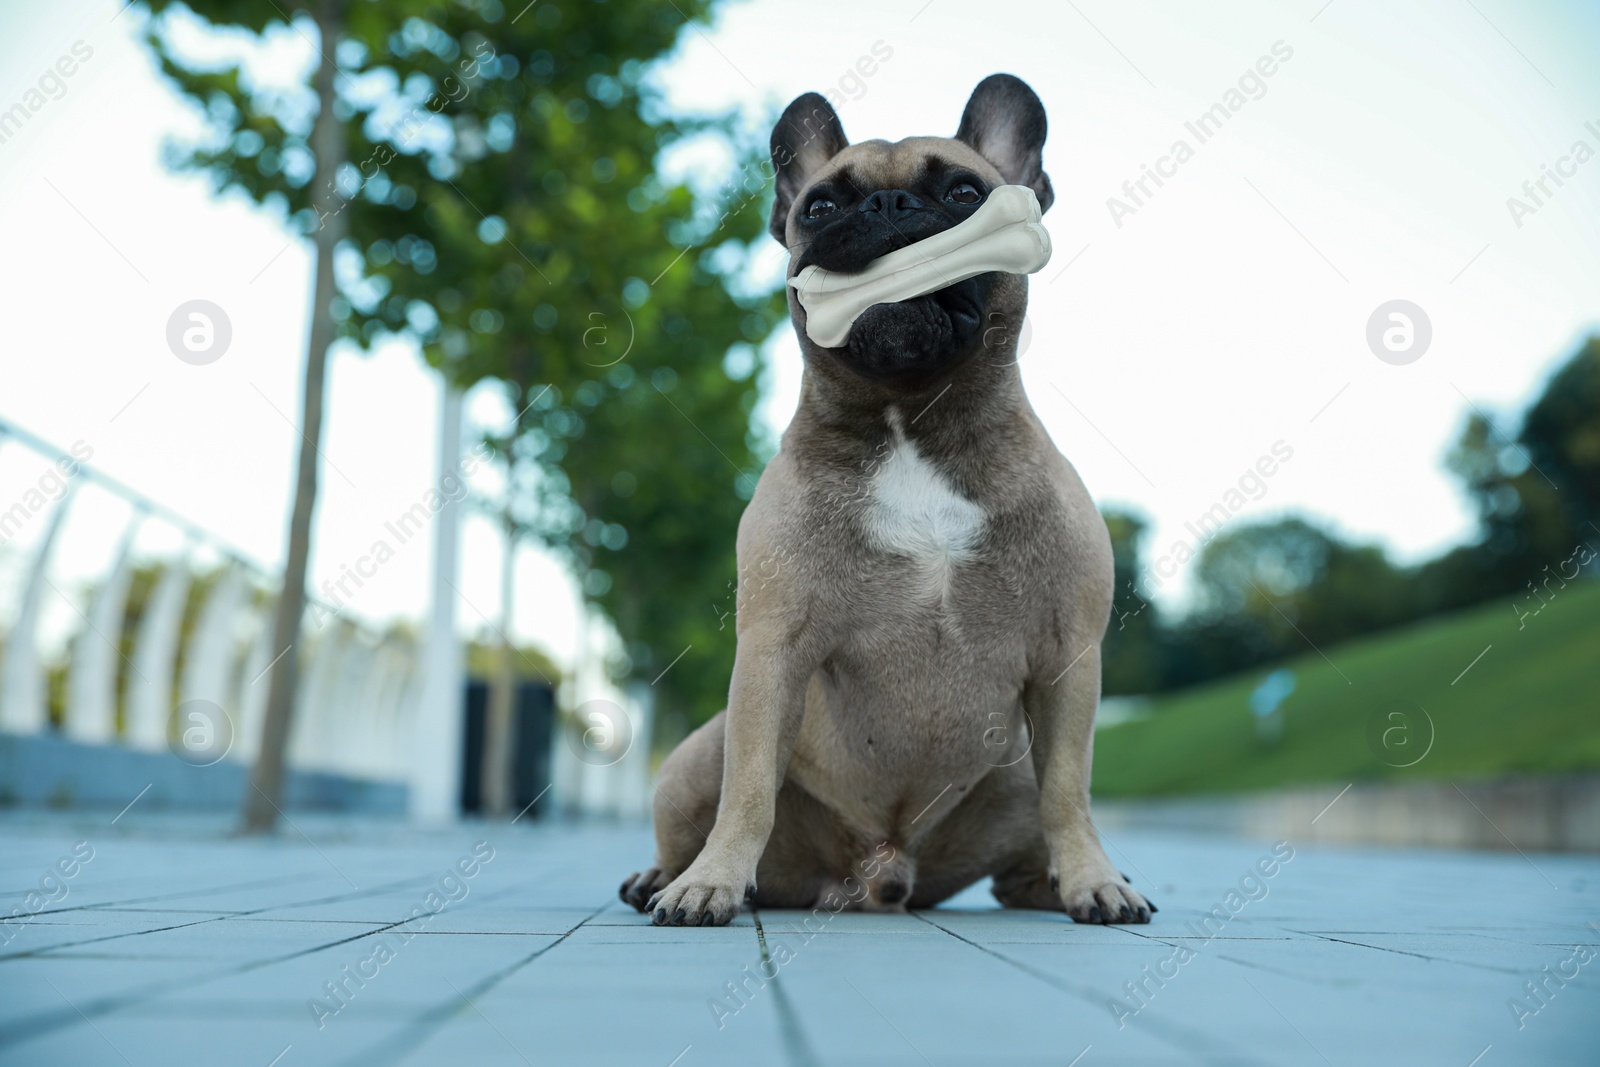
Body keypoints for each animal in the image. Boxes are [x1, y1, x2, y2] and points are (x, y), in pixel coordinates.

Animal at [617, 73, 1158, 927]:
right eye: (819, 207)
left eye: (965, 192)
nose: (888, 206)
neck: (911, 418)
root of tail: (881, 872)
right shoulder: (771, 652)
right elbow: (749, 785)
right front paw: (711, 881)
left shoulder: (1069, 657)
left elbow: (1071, 789)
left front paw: (1092, 878)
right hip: (691, 759)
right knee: (707, 799)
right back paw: (665, 877)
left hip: (1011, 769)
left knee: (1023, 848)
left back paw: (1060, 882)